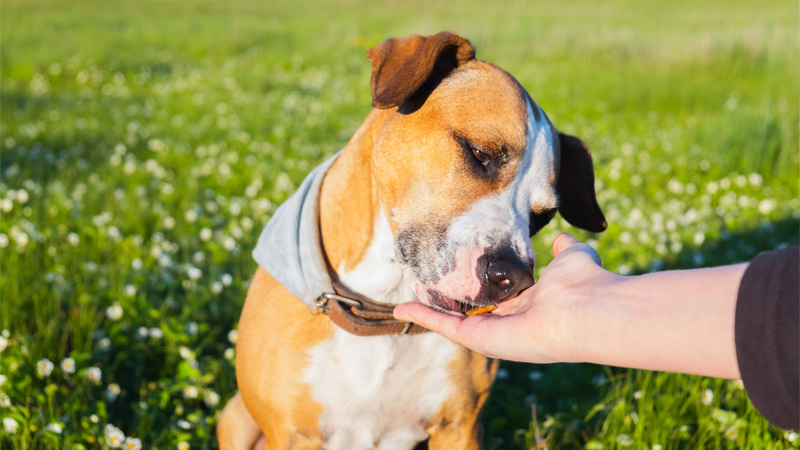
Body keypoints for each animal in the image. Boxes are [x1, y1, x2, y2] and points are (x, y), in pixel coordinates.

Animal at [219, 32, 608, 450]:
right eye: (479, 153)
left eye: (543, 217)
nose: (514, 279)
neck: (384, 304)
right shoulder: (292, 432)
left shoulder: (461, 428)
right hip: (234, 418)